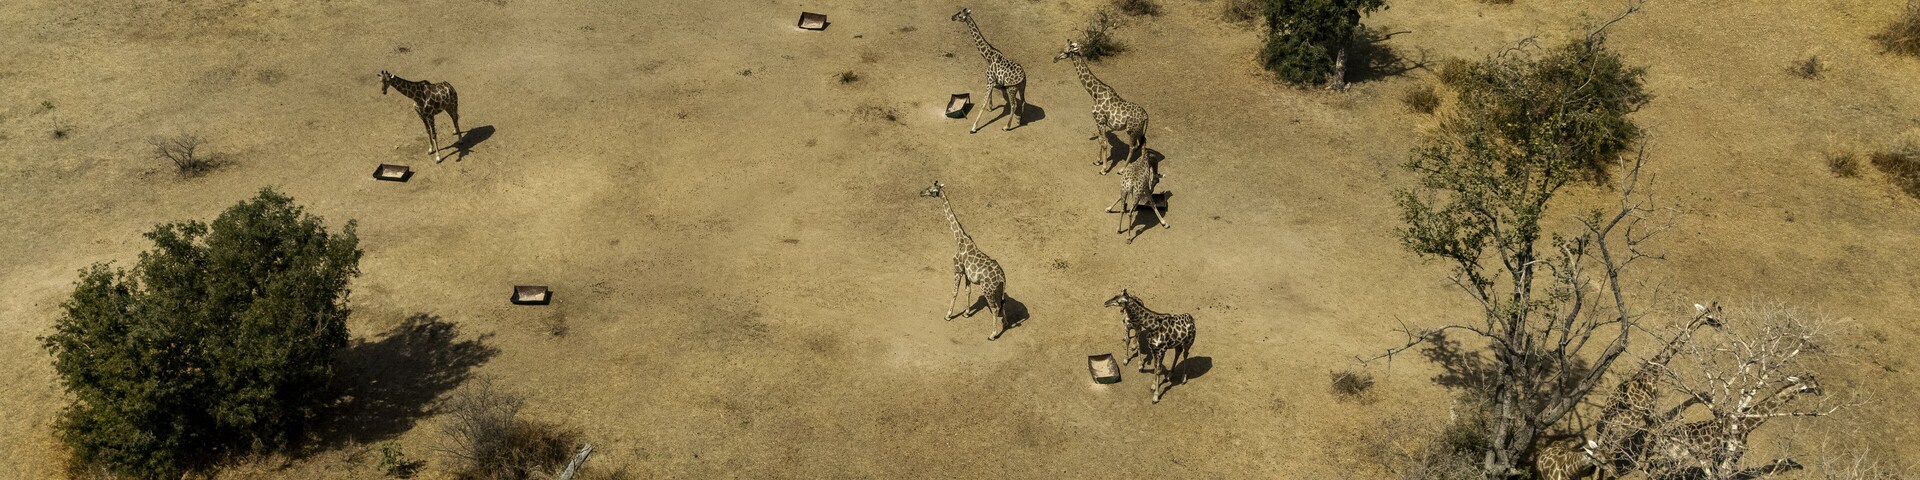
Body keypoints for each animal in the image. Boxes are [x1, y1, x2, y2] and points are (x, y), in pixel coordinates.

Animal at [920, 181, 1009, 340]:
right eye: (927, 187)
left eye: (931, 190)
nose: (921, 193)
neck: (959, 238)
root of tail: (1002, 277)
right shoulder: (967, 273)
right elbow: (967, 291)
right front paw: (967, 313)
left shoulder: (957, 268)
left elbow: (954, 291)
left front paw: (948, 315)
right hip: (999, 289)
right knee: (1002, 304)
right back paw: (1005, 324)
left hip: (987, 289)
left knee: (995, 308)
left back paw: (992, 334)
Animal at [1054, 40, 1149, 175]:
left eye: (1066, 51)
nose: (1055, 58)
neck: (1095, 93)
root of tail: (1146, 116)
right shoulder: (1100, 122)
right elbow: (1100, 139)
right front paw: (1097, 161)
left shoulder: (1099, 120)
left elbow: (1103, 142)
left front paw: (1104, 169)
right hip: (1139, 131)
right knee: (1143, 144)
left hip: (1131, 130)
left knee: (1132, 147)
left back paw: (1122, 169)